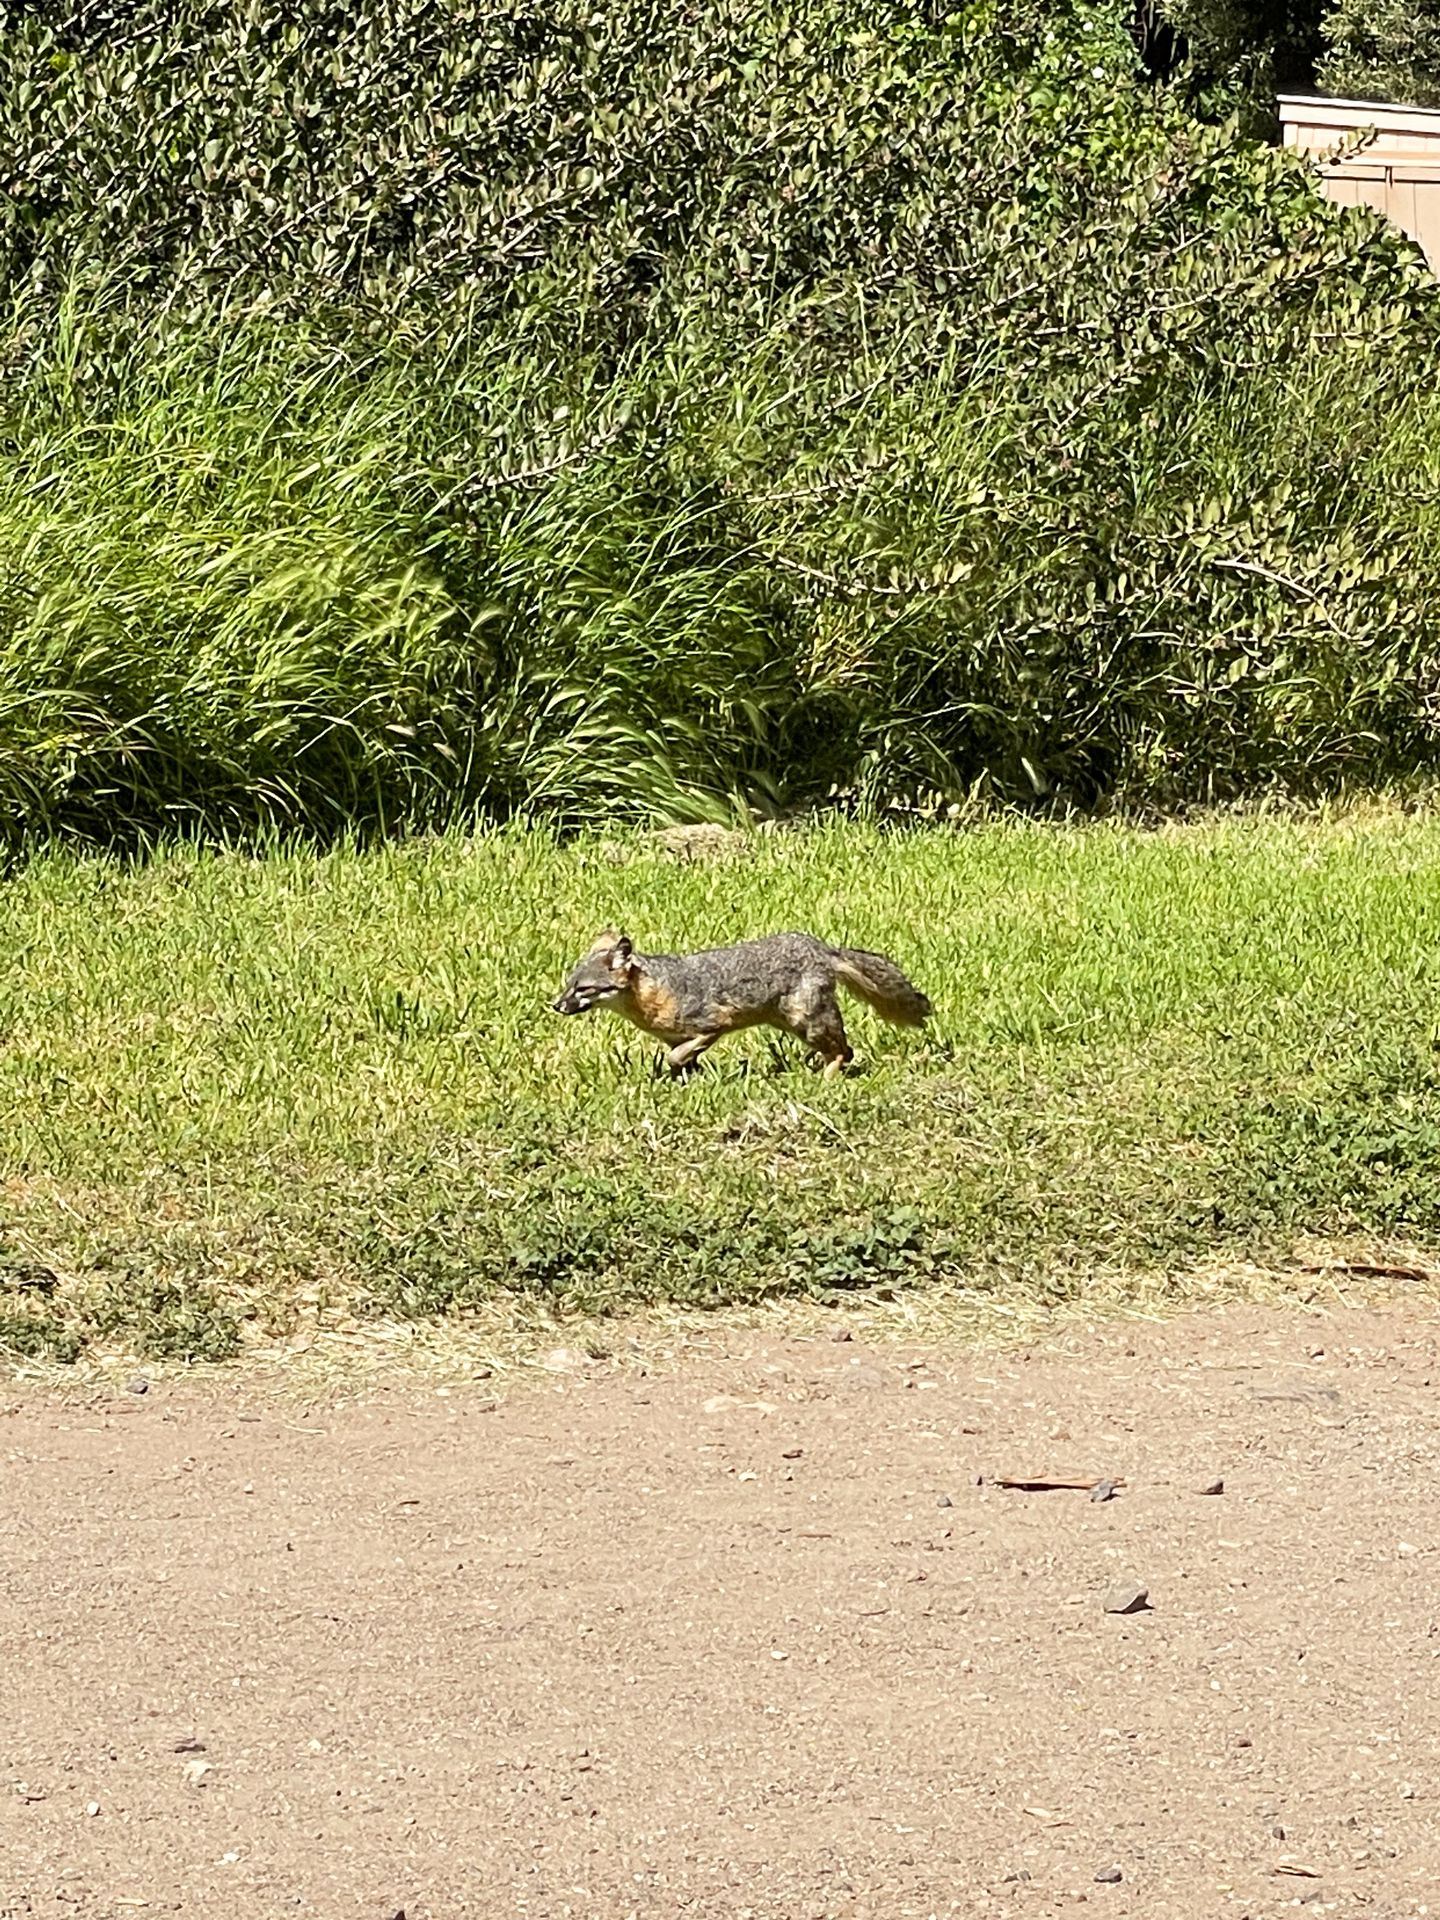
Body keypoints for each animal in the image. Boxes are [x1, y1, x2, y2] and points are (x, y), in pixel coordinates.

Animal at [551, 929, 931, 1077]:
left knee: (845, 1051)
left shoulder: (712, 1024)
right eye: (567, 986)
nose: (556, 1006)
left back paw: (824, 1079)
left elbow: (677, 1056)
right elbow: (682, 1061)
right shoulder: (678, 1037)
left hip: (806, 1021)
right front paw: (691, 1078)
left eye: (583, 989)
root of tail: (821, 947)